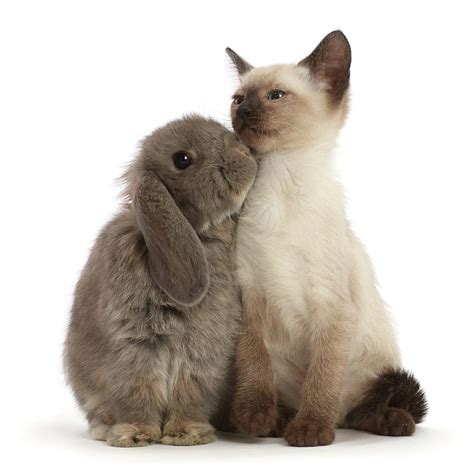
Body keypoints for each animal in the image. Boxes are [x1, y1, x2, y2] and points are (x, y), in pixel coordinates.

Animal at [63, 113, 258, 446]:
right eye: (182, 159)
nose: (245, 153)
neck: (198, 235)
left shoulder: (201, 355)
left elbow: (189, 395)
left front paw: (187, 434)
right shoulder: (134, 350)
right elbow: (136, 394)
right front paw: (136, 435)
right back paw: (105, 429)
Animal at [227, 31, 430, 446]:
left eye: (275, 96)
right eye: (238, 99)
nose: (242, 112)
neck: (279, 182)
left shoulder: (333, 306)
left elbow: (322, 378)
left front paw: (310, 431)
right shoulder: (249, 292)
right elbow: (254, 362)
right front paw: (253, 416)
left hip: (371, 372)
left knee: (360, 409)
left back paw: (385, 422)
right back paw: (277, 420)